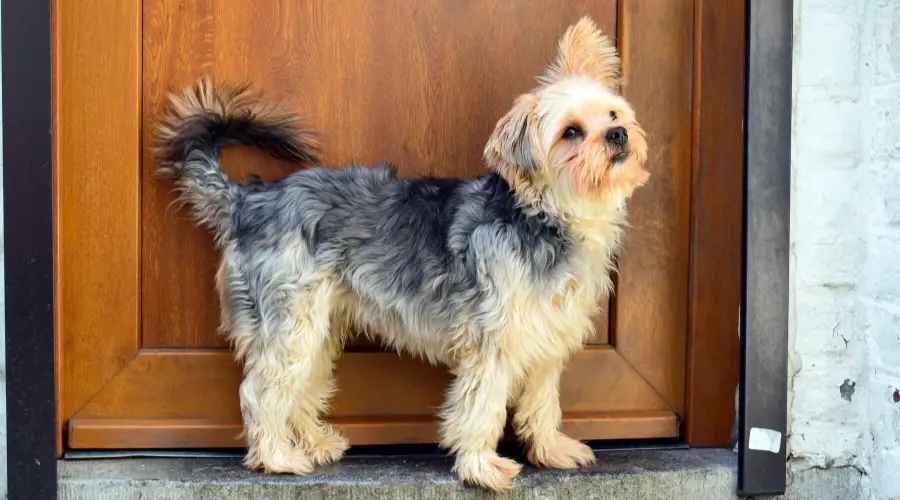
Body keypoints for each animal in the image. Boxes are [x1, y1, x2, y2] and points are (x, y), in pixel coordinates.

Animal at [153, 16, 648, 492]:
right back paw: (277, 457)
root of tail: (247, 199)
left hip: (317, 327)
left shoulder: (547, 339)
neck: (546, 217)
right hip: (290, 323)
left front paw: (551, 451)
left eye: (611, 113)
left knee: (301, 388)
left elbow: (543, 404)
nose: (618, 133)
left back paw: (315, 442)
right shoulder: (492, 341)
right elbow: (482, 406)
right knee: (260, 391)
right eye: (571, 132)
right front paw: (481, 468)